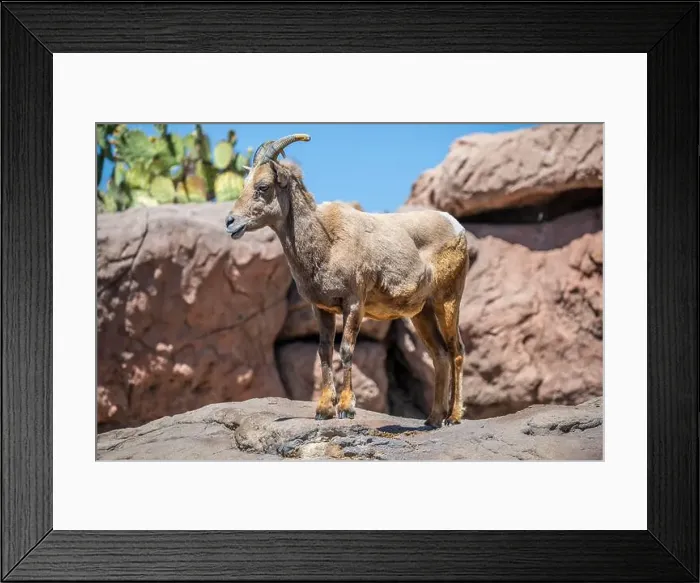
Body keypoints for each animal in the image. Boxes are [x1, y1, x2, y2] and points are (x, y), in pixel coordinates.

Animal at [225, 134, 470, 427]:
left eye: (263, 187)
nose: (230, 222)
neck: (327, 243)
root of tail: (456, 226)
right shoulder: (321, 309)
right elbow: (324, 353)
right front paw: (323, 410)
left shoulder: (353, 304)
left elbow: (346, 351)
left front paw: (346, 408)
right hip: (421, 313)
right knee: (440, 355)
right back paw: (433, 420)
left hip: (447, 300)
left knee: (456, 350)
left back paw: (453, 417)